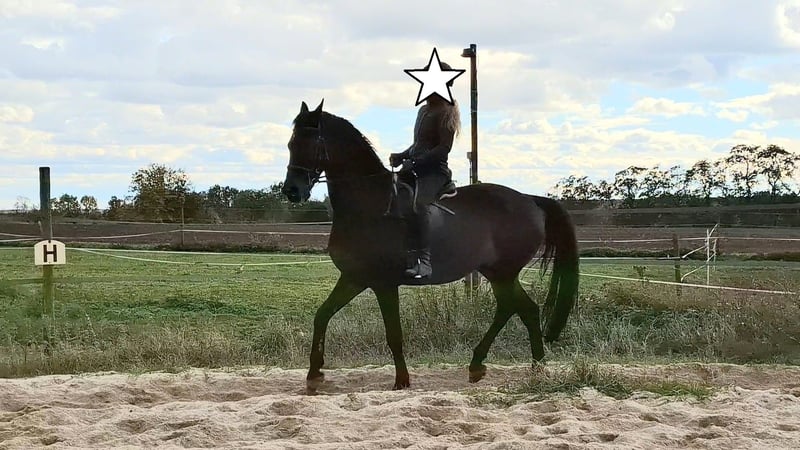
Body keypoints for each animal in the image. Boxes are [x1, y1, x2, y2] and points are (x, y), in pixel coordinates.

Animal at [281, 100, 579, 393]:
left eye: (310, 143)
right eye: (290, 144)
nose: (292, 192)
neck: (369, 202)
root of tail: (530, 199)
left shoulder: (383, 284)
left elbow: (394, 333)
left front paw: (402, 381)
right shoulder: (353, 278)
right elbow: (322, 315)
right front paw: (314, 376)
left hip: (503, 273)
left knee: (517, 308)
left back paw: (516, 366)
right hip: (498, 273)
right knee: (521, 309)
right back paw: (513, 366)